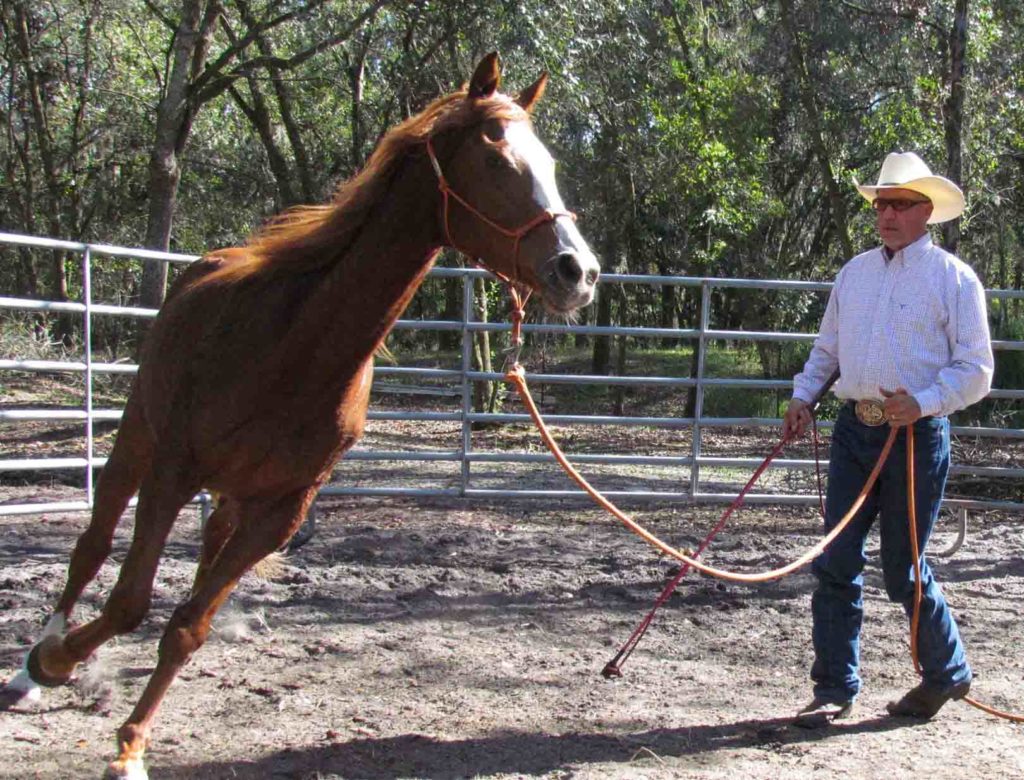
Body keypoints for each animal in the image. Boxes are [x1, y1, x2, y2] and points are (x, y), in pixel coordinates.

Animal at [1, 53, 599, 779]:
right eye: (494, 159)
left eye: (547, 162)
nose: (578, 272)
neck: (297, 346)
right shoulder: (172, 472)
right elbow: (128, 599)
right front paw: (56, 664)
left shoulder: (281, 509)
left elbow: (188, 626)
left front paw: (133, 744)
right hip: (137, 439)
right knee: (90, 547)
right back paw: (35, 667)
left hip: (233, 494)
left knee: (199, 564)